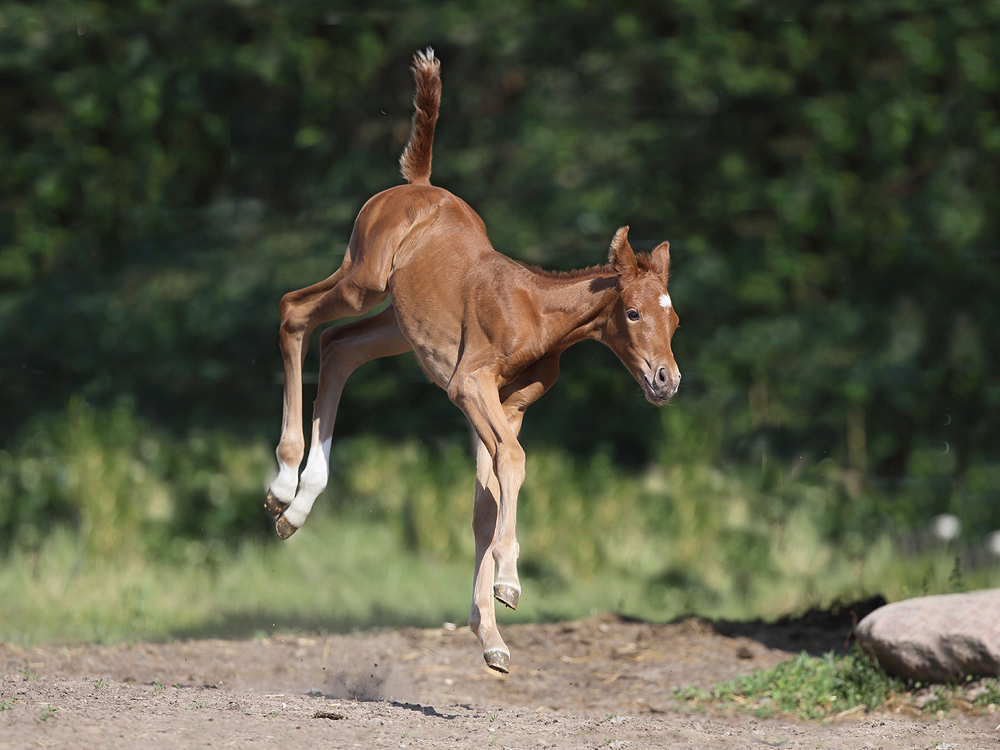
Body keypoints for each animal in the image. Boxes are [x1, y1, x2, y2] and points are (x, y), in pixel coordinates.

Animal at [266, 51, 680, 676]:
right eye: (632, 313)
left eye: (675, 321)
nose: (666, 380)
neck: (536, 314)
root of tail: (417, 186)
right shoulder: (468, 384)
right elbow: (513, 463)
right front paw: (510, 584)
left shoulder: (511, 403)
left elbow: (490, 496)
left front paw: (490, 636)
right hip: (364, 278)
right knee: (296, 312)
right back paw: (284, 483)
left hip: (399, 325)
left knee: (339, 347)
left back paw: (299, 503)